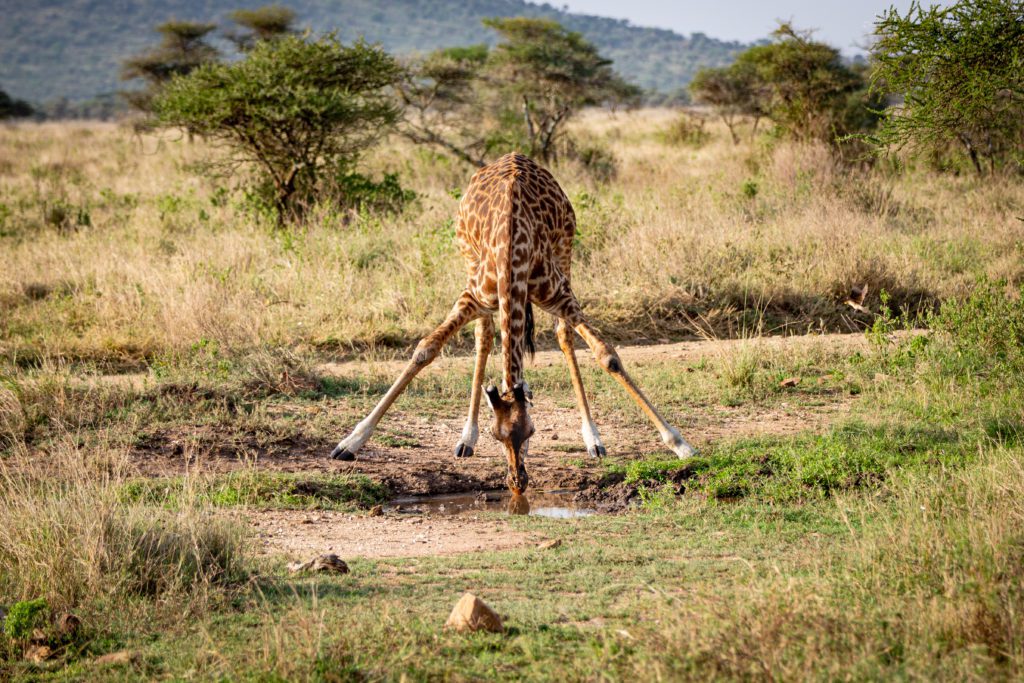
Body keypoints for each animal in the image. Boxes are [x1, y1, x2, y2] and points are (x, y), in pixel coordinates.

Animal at [331, 150, 700, 491]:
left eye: (532, 431)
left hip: (565, 255)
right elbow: (425, 350)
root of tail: (513, 155)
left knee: (562, 336)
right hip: (469, 264)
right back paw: (466, 438)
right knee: (485, 337)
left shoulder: (560, 295)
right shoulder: (472, 296)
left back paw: (592, 439)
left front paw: (680, 444)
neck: (512, 248)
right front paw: (350, 442)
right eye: (497, 435)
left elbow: (607, 356)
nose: (517, 481)